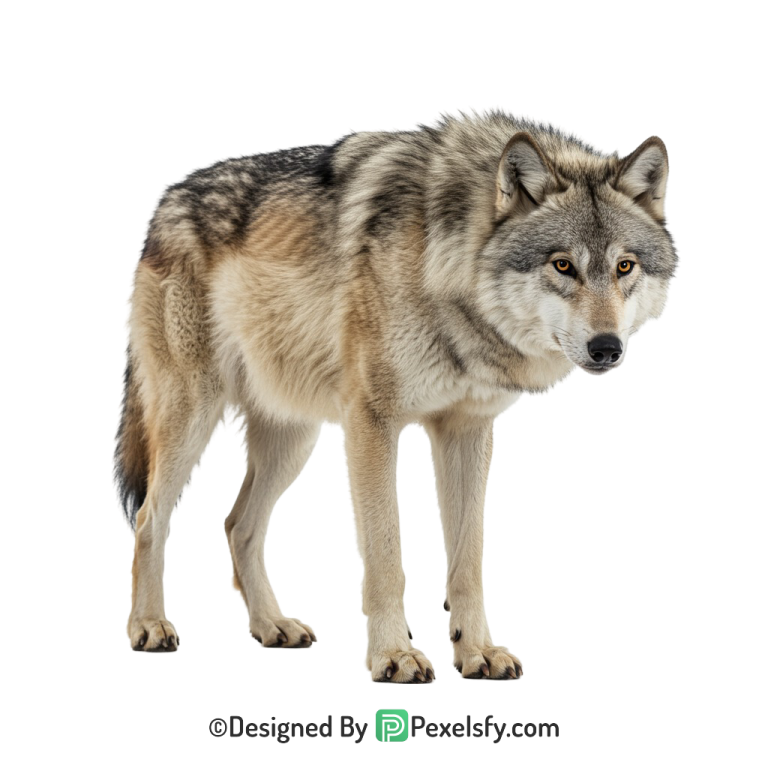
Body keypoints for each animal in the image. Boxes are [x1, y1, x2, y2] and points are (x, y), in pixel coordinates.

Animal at [112, 107, 679, 682]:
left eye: (625, 266)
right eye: (563, 265)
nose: (606, 347)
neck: (446, 266)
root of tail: (164, 199)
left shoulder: (467, 430)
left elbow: (467, 563)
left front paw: (477, 652)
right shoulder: (371, 423)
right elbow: (386, 558)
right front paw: (394, 656)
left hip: (293, 443)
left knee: (237, 527)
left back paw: (273, 627)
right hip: (192, 421)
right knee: (150, 520)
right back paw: (149, 627)